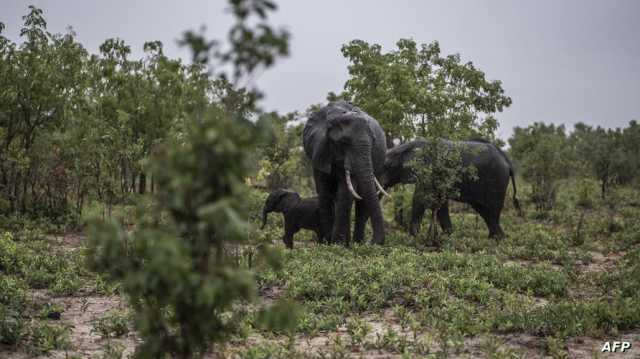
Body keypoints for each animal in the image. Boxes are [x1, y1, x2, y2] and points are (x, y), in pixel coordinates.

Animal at [302, 102, 388, 248]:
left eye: (373, 142)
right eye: (343, 143)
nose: (372, 243)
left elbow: (346, 194)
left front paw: (337, 244)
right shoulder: (319, 150)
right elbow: (324, 193)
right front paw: (327, 244)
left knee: (362, 203)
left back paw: (357, 244)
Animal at [380, 139, 520, 240]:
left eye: (388, 166)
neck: (405, 147)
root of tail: (507, 160)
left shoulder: (428, 170)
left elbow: (420, 198)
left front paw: (414, 237)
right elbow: (440, 203)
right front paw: (447, 236)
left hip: (497, 179)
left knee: (492, 209)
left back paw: (496, 240)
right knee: (483, 210)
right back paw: (497, 238)